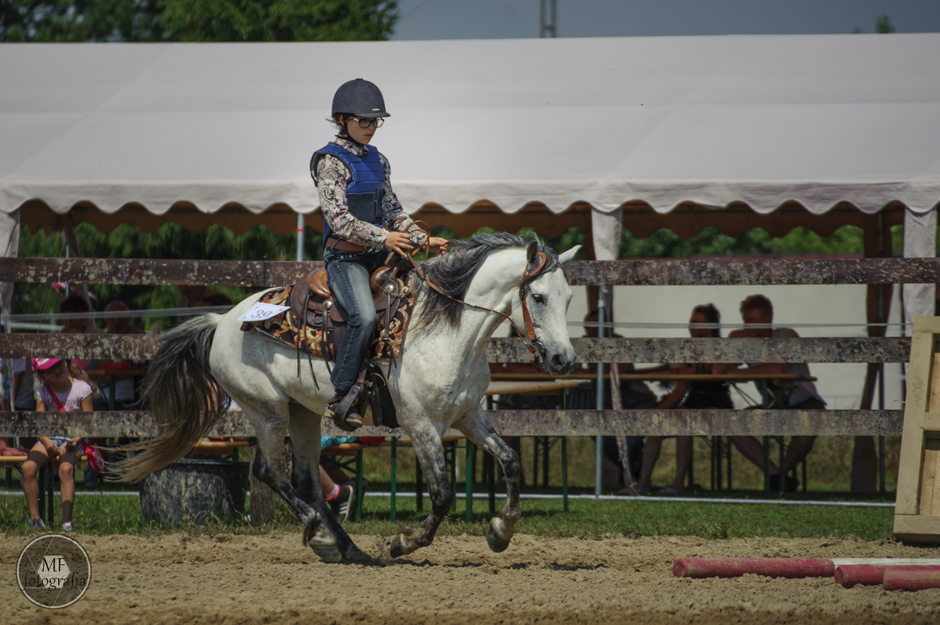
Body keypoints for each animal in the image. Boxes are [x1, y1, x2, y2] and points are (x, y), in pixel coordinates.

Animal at [114, 232, 580, 563]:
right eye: (538, 296)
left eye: (569, 298)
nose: (563, 359)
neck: (447, 331)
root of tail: (223, 321)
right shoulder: (420, 425)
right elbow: (443, 494)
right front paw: (404, 543)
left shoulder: (468, 416)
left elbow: (511, 461)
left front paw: (501, 531)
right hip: (268, 410)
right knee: (269, 471)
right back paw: (321, 535)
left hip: (302, 412)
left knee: (305, 478)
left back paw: (348, 547)